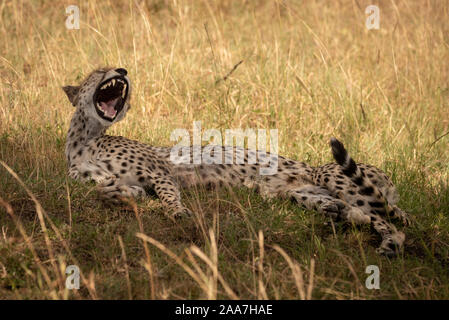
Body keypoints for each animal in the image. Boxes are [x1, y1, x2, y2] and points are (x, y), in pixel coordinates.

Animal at [62, 66, 410, 256]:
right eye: (99, 71)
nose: (122, 71)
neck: (86, 139)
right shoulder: (99, 179)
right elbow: (104, 189)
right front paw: (122, 195)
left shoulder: (161, 171)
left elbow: (169, 194)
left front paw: (176, 212)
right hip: (296, 192)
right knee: (355, 212)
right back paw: (335, 214)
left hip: (333, 175)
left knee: (389, 220)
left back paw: (391, 242)